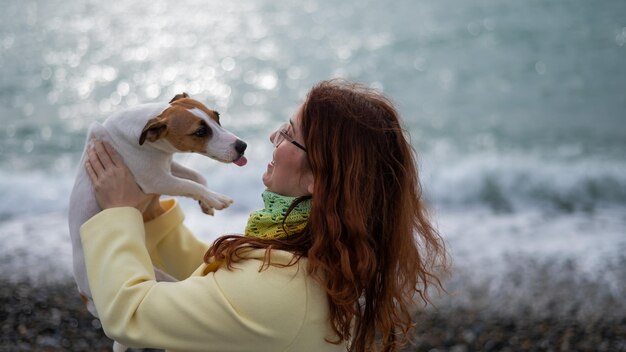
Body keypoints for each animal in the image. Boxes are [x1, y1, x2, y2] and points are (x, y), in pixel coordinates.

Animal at [66, 92, 246, 350]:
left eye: (217, 116)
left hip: (163, 278)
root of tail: (84, 296)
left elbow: (197, 177)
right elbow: (191, 184)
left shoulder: (168, 165)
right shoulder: (157, 179)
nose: (242, 146)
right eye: (200, 132)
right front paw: (214, 198)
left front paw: (206, 202)